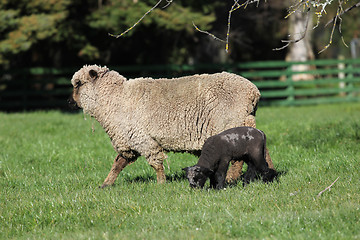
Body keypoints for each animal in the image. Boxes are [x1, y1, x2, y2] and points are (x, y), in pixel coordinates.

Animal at [67, 65, 274, 188]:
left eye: (78, 83)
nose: (69, 102)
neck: (115, 98)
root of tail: (253, 92)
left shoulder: (142, 139)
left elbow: (155, 163)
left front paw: (161, 184)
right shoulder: (130, 141)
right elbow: (118, 164)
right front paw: (106, 184)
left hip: (232, 123)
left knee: (239, 159)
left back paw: (232, 179)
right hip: (246, 123)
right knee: (263, 151)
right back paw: (269, 175)